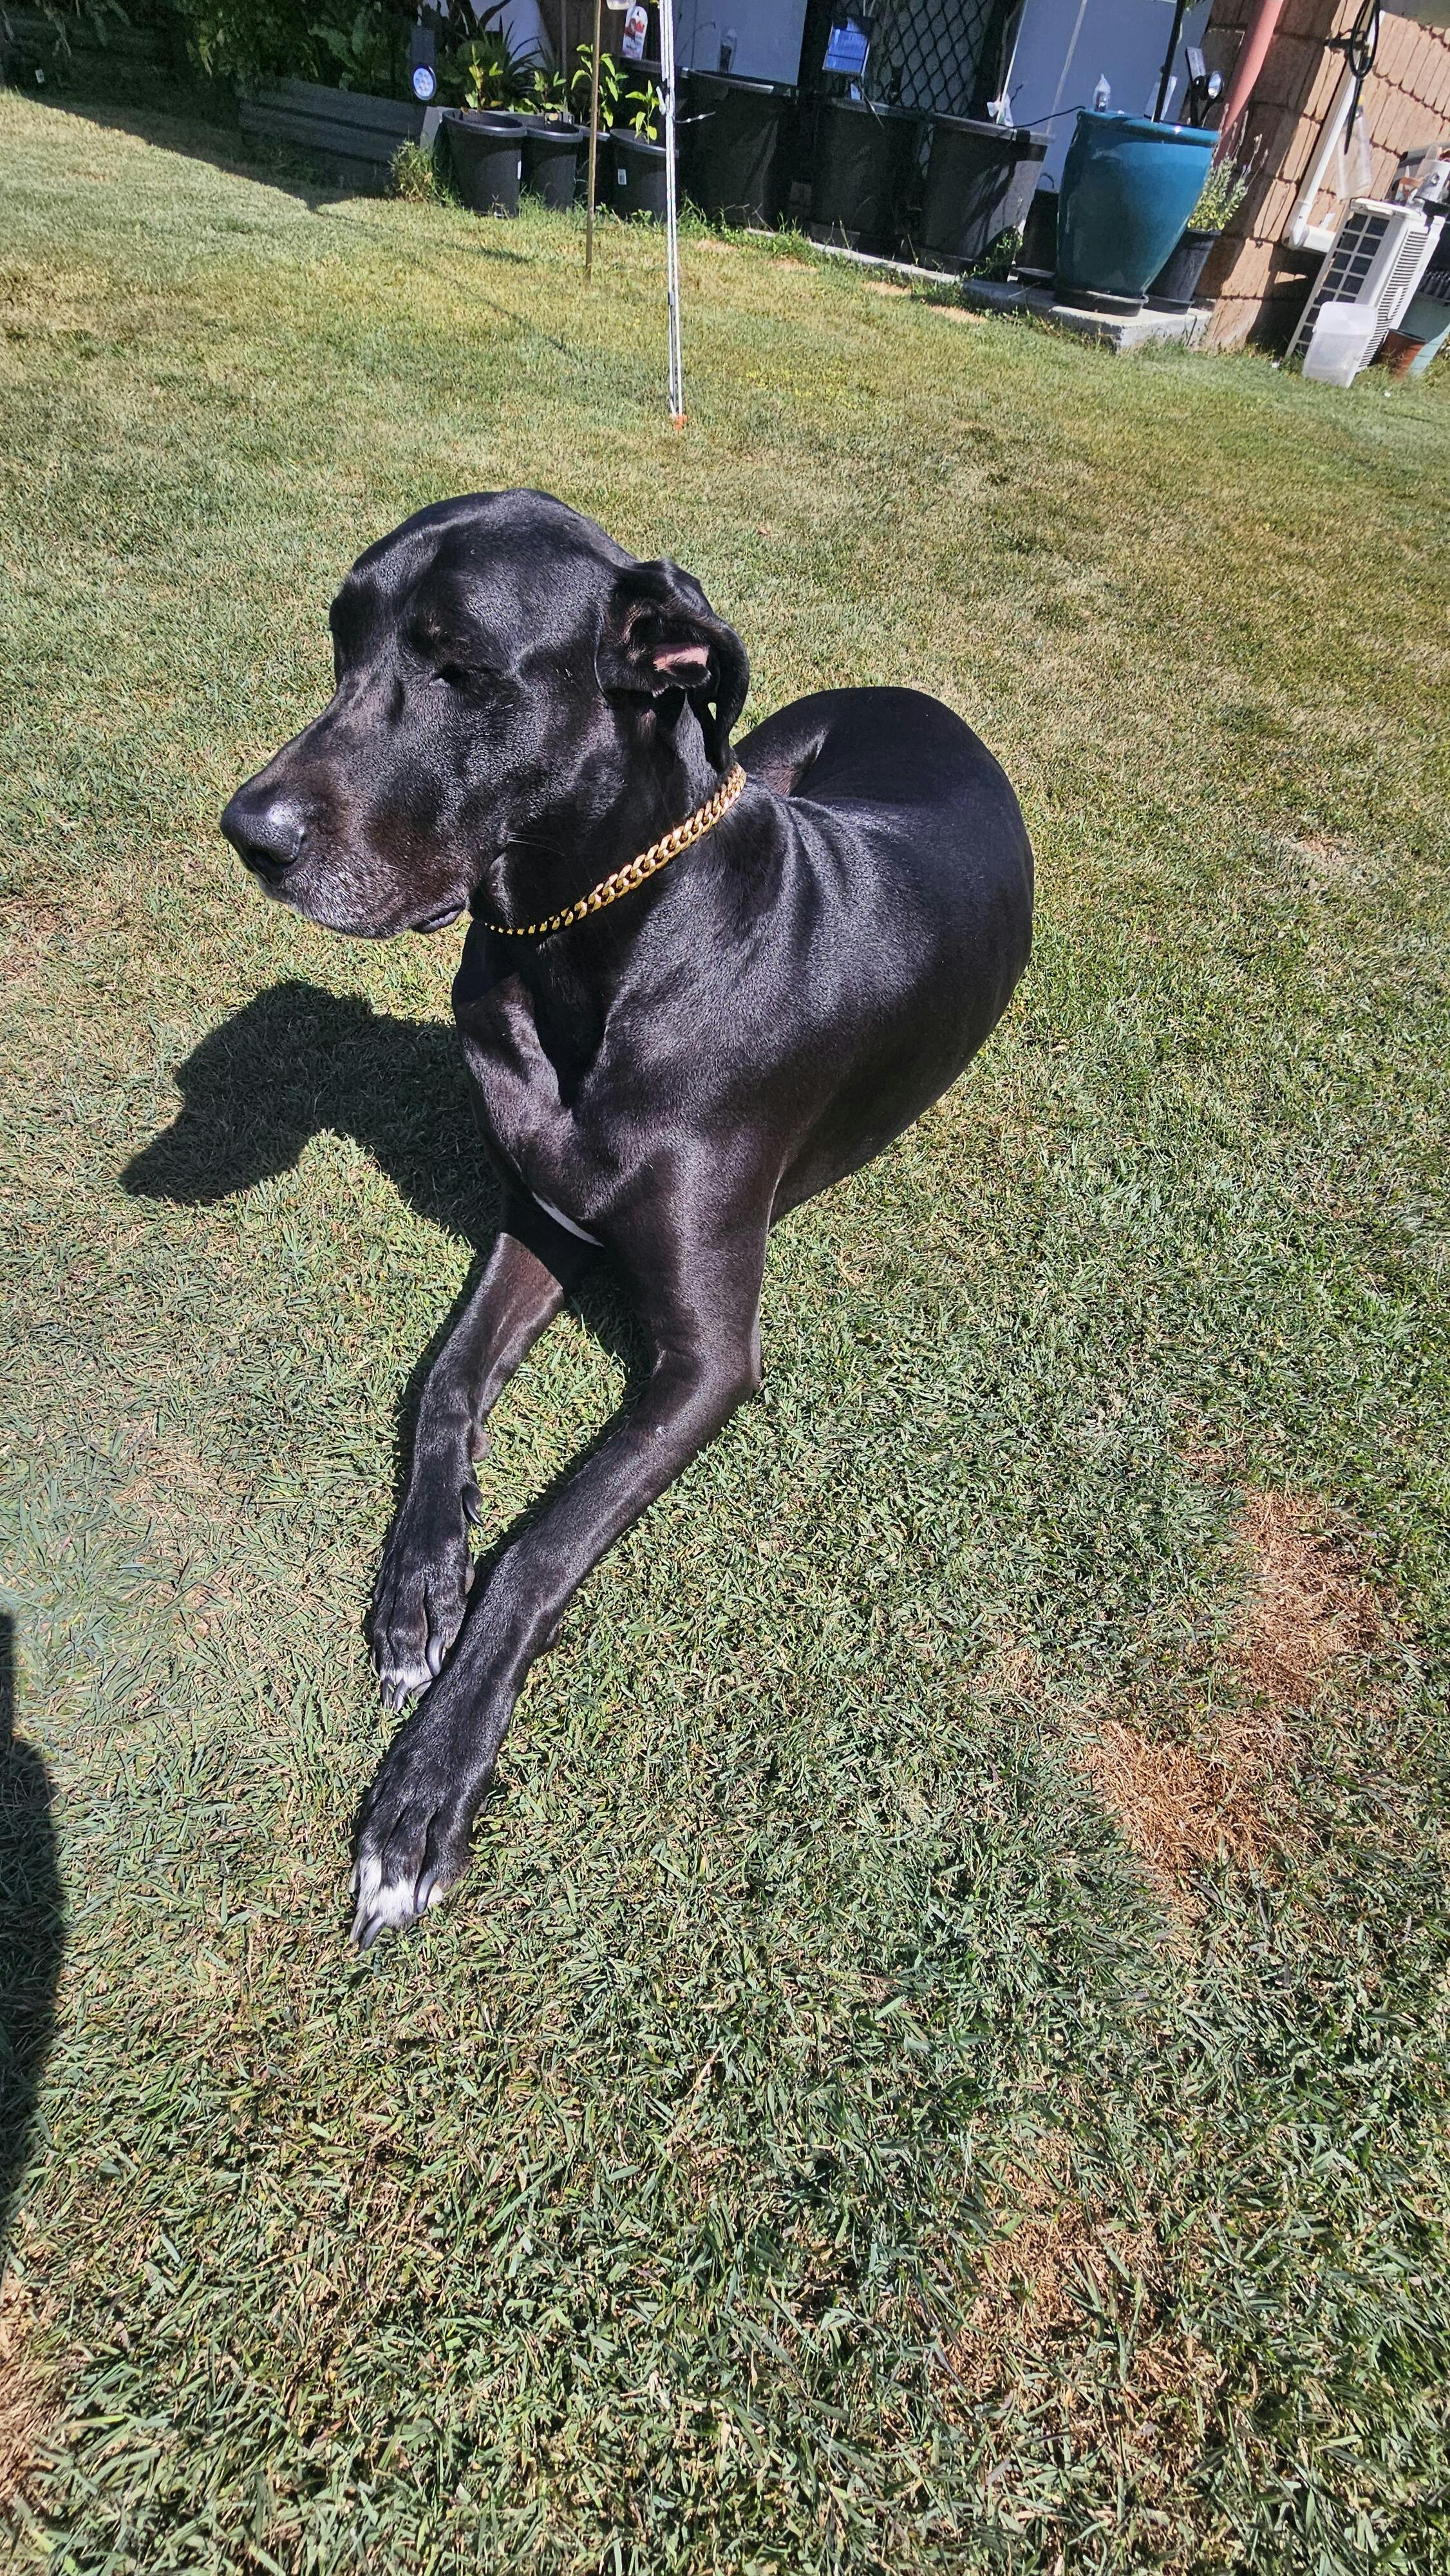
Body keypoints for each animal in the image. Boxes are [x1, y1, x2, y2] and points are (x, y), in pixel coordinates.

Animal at [220, 490, 1033, 1946]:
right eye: (342, 639)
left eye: (459, 666)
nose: (247, 831)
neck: (586, 947)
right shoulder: (539, 1220)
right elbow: (444, 1380)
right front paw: (419, 1583)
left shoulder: (706, 1359)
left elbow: (544, 1545)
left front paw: (422, 1794)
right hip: (765, 747)